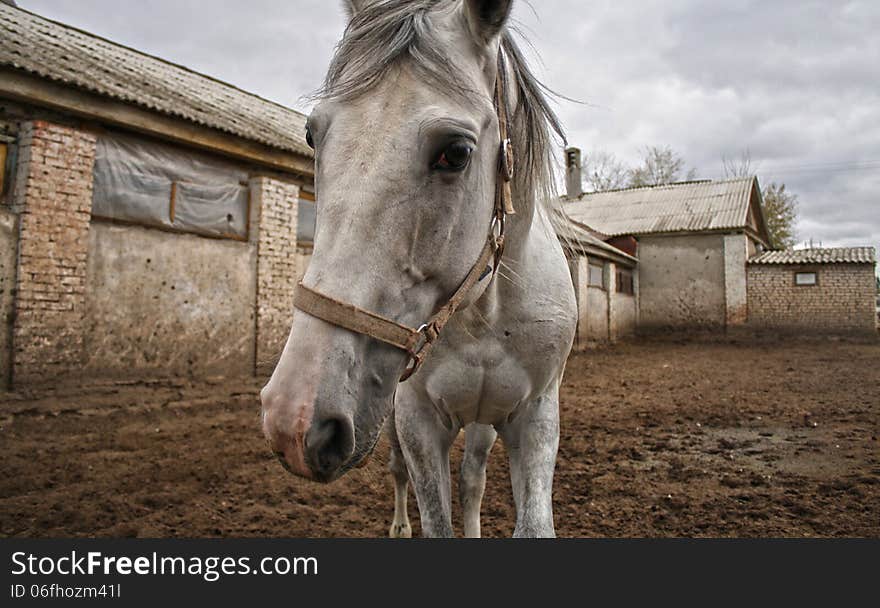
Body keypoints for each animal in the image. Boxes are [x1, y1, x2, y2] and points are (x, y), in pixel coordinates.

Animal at [262, 0, 576, 536]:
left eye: (457, 152)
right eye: (311, 135)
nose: (293, 420)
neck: (485, 314)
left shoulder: (534, 416)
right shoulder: (417, 418)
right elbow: (433, 515)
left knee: (472, 478)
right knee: (398, 471)